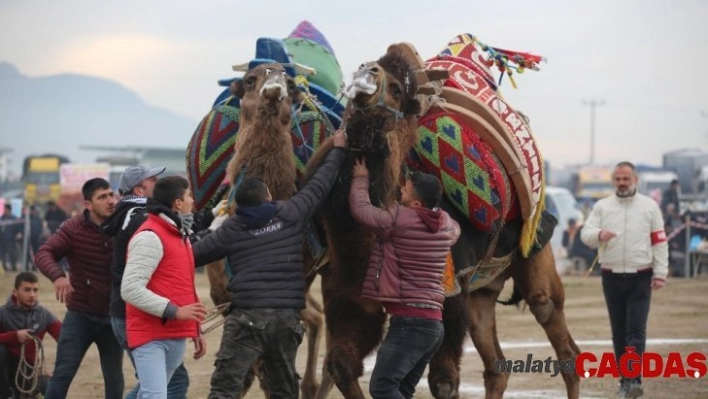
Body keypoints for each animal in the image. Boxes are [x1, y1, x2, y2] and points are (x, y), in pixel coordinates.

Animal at [306, 47, 580, 399]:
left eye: (397, 88)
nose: (368, 70)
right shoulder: (352, 298)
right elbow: (341, 365)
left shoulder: (448, 296)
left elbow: (444, 382)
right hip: (482, 292)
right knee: (496, 366)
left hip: (534, 252)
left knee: (558, 333)